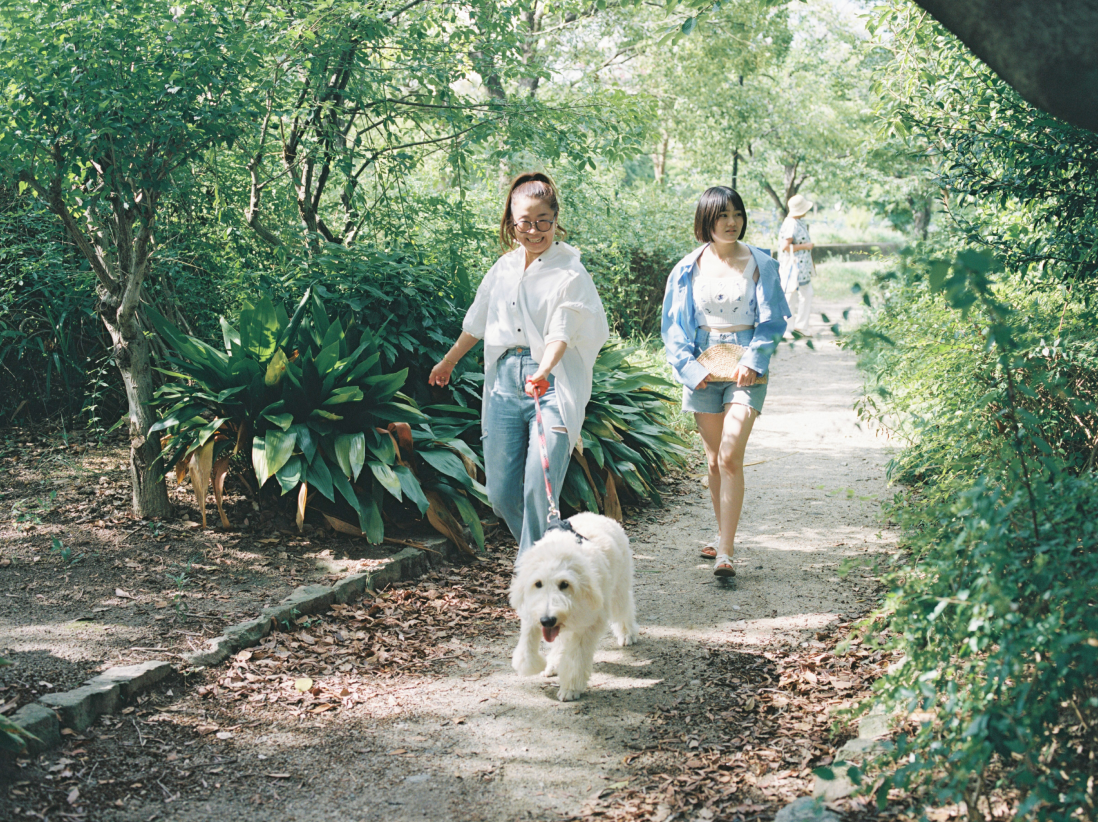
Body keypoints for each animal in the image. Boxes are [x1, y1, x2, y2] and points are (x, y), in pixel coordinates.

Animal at [509, 513, 641, 697]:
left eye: (565, 584)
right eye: (538, 583)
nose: (547, 620)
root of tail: (597, 515)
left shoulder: (588, 624)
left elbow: (576, 657)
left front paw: (570, 688)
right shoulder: (532, 612)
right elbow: (527, 641)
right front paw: (531, 664)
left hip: (619, 587)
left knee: (623, 609)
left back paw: (627, 634)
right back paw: (554, 663)